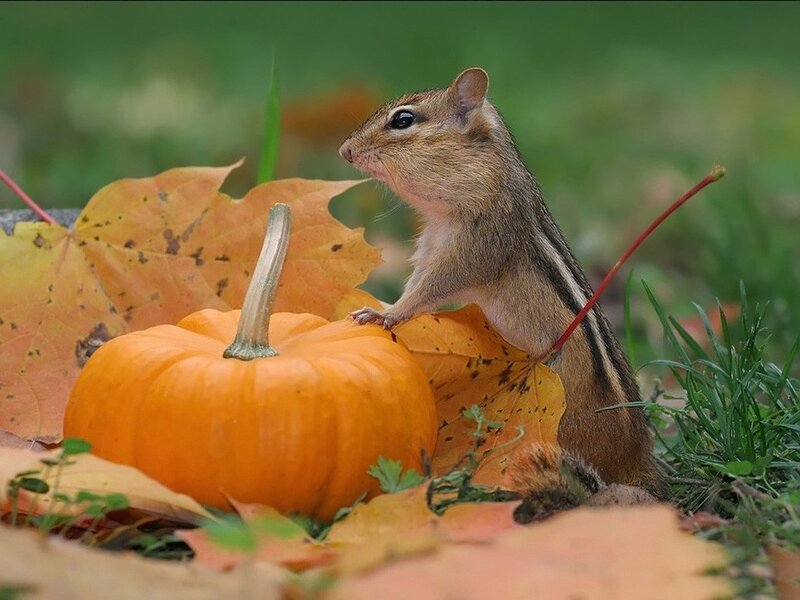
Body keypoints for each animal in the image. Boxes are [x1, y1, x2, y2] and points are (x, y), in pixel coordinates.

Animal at [338, 67, 664, 518]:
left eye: (403, 120)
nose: (345, 150)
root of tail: (638, 460)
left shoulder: (472, 248)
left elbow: (429, 290)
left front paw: (387, 314)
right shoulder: (430, 247)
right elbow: (415, 282)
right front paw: (384, 303)